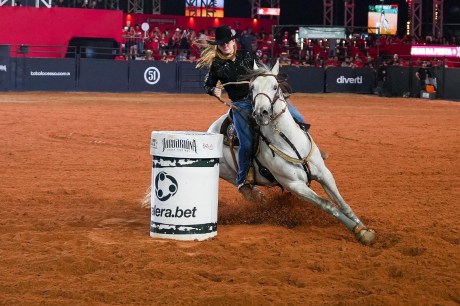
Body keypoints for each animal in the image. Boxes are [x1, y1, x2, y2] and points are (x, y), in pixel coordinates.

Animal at [207, 60, 376, 246]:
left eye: (275, 86)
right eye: (252, 87)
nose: (260, 113)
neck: (289, 142)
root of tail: (213, 127)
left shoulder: (325, 174)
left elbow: (342, 204)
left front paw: (364, 228)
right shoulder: (294, 185)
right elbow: (327, 204)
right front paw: (359, 231)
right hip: (229, 173)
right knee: (245, 189)